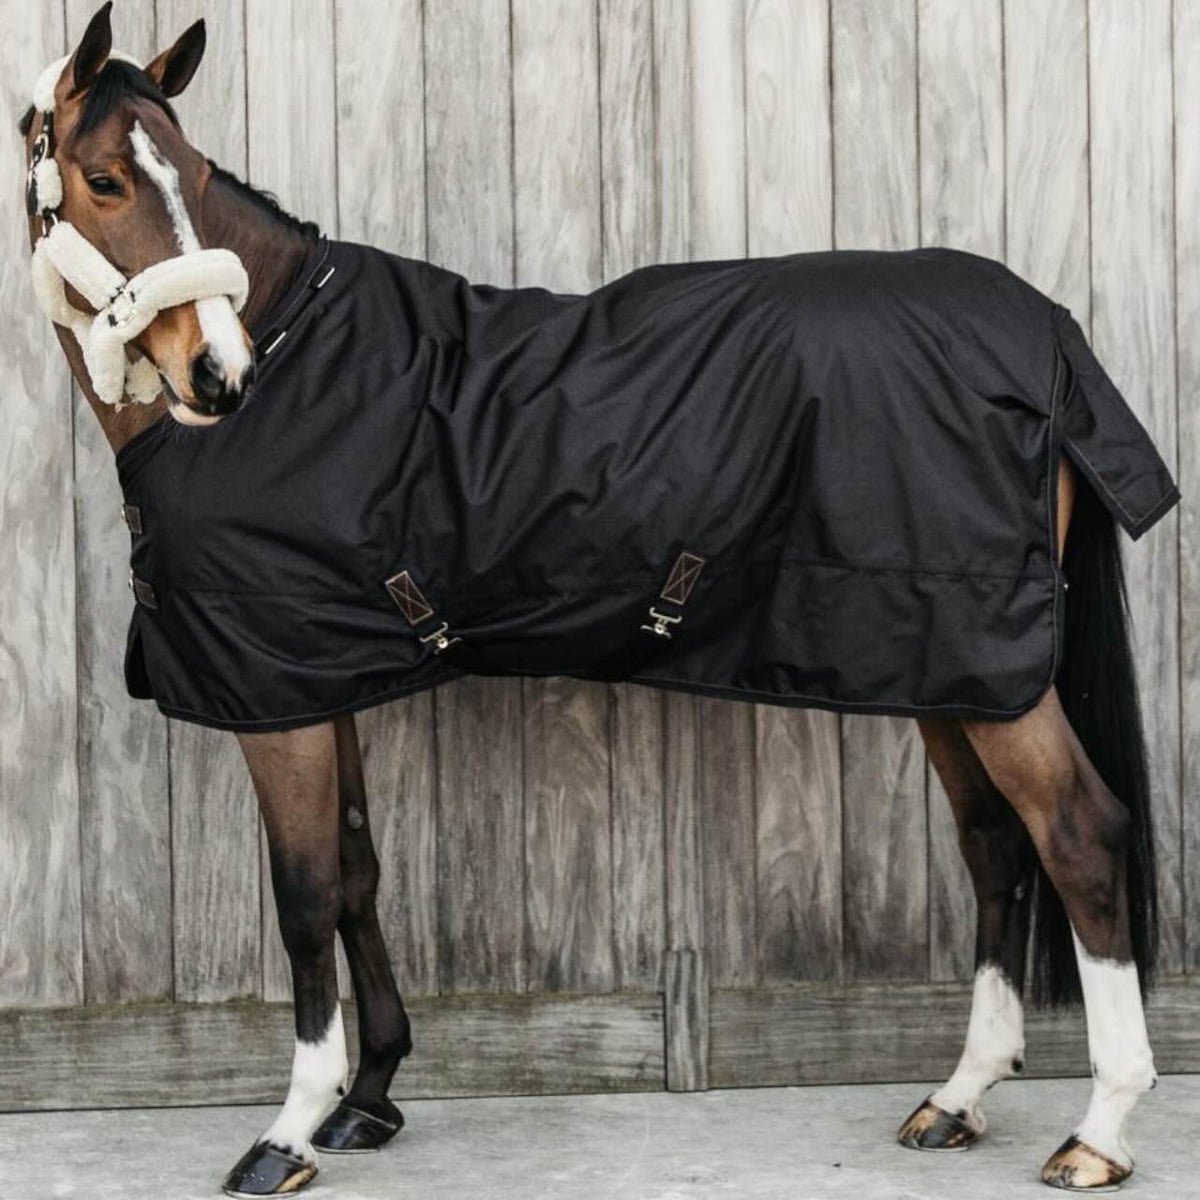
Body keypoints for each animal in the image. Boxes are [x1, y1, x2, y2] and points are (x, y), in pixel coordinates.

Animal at [19, 5, 1177, 1197]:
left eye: (193, 177)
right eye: (107, 179)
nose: (219, 372)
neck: (298, 366)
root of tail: (1046, 329)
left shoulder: (277, 702)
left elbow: (303, 900)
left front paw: (290, 1128)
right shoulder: (319, 678)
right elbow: (356, 873)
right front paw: (372, 1097)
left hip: (992, 674)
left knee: (1080, 835)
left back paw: (1100, 1128)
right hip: (947, 666)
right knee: (996, 844)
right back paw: (959, 1095)